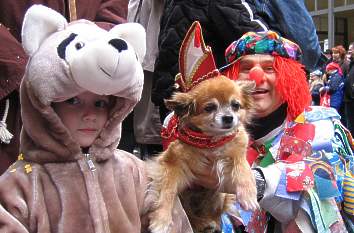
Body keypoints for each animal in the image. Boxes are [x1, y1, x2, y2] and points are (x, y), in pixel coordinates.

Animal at [148, 75, 258, 232]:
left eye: (235, 105)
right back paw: (201, 223)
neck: (210, 142)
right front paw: (161, 219)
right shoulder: (170, 163)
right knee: (190, 214)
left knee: (214, 214)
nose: (228, 117)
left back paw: (210, 223)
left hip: (218, 196)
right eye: (209, 108)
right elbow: (168, 191)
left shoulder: (237, 153)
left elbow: (244, 170)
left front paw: (249, 196)